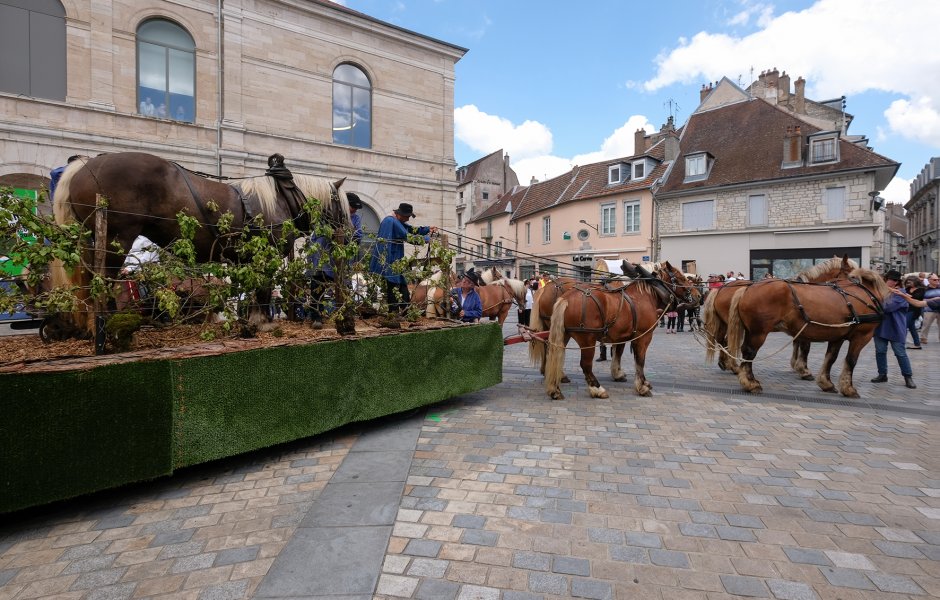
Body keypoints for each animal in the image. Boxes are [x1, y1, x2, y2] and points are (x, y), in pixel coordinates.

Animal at [48, 151, 348, 338]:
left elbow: (250, 291)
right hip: (116, 238)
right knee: (104, 280)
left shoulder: (245, 259)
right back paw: (108, 327)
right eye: (340, 203)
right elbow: (262, 289)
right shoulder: (264, 254)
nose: (346, 232)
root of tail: (85, 165)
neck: (282, 198)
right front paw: (263, 323)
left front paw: (251, 322)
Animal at [540, 262, 700, 398]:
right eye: (681, 278)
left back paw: (554, 388)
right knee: (585, 364)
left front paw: (620, 374)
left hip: (563, 335)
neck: (645, 295)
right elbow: (640, 361)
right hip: (587, 339)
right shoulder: (643, 337)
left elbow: (619, 354)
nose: (698, 295)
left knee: (554, 356)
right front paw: (642, 386)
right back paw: (597, 388)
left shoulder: (621, 336)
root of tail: (565, 299)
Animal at [700, 255, 856, 378]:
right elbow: (805, 346)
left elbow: (797, 343)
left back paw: (725, 363)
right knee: (729, 341)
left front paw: (796, 365)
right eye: (851, 274)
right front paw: (803, 370)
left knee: (723, 340)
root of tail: (721, 289)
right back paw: (733, 366)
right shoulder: (808, 324)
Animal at [728, 264, 888, 396]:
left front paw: (826, 382)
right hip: (758, 333)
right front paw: (848, 388)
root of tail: (747, 288)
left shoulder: (837, 335)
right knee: (749, 353)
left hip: (751, 331)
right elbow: (851, 360)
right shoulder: (862, 336)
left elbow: (830, 357)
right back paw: (750, 382)